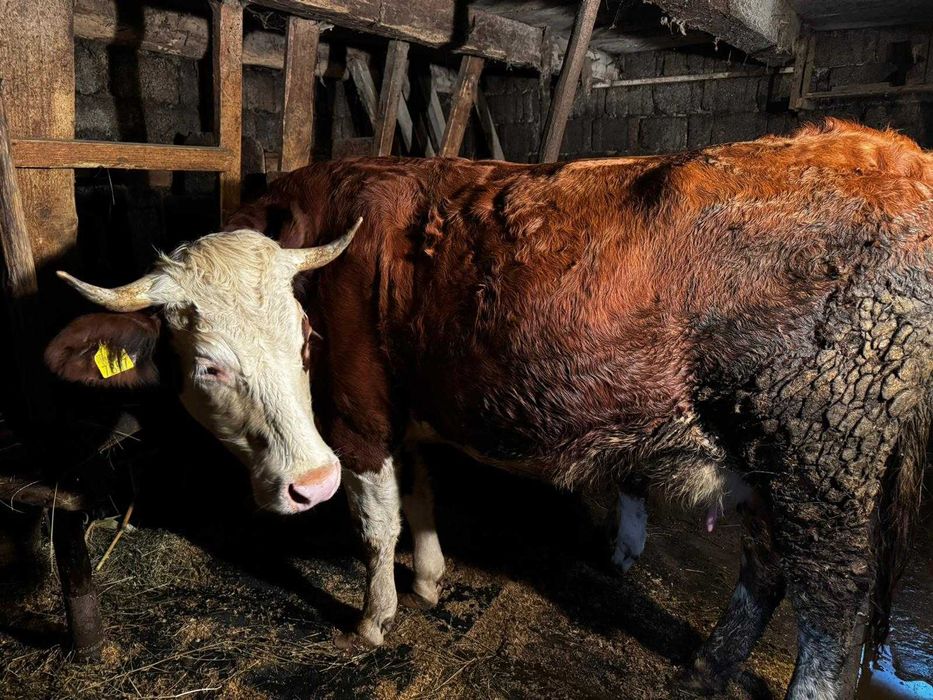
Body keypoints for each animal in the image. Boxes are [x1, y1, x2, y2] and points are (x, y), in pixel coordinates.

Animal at [45, 119, 933, 699]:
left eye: (304, 339)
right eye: (211, 364)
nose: (309, 483)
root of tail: (890, 150)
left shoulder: (359, 416)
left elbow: (377, 524)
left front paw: (375, 618)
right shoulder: (404, 405)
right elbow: (421, 495)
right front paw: (434, 580)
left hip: (825, 462)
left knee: (828, 622)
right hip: (770, 460)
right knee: (764, 572)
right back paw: (705, 669)